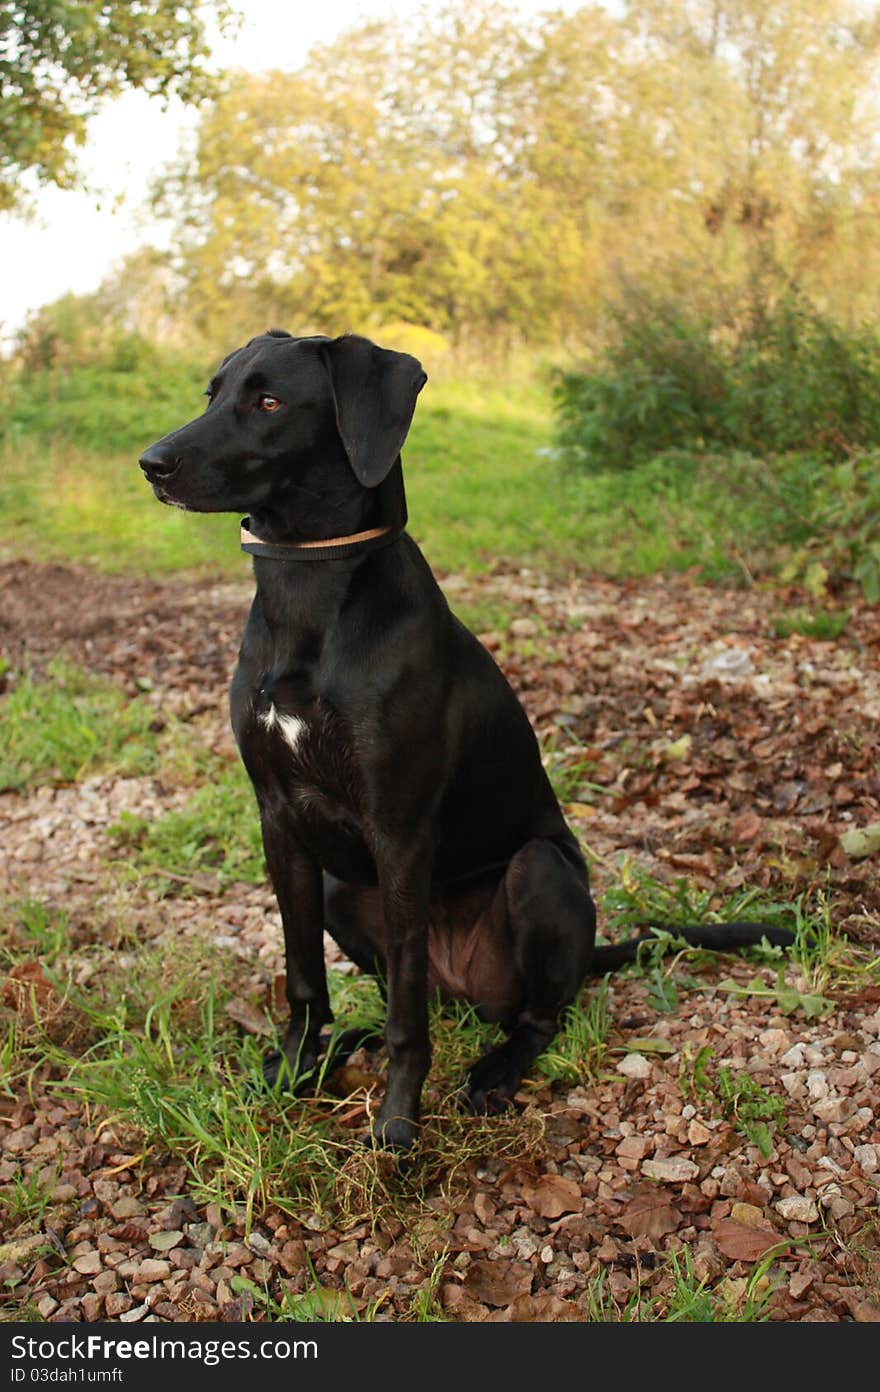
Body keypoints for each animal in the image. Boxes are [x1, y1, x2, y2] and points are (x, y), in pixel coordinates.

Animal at [140, 331, 796, 1147]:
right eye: (212, 393)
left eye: (269, 401)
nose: (151, 463)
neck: (310, 591)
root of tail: (465, 984)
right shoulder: (279, 819)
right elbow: (302, 980)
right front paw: (293, 1071)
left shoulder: (398, 830)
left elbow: (406, 1021)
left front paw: (396, 1126)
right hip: (343, 888)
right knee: (404, 989)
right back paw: (350, 1042)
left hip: (538, 873)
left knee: (532, 1014)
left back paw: (495, 1068)